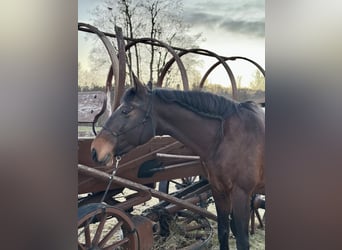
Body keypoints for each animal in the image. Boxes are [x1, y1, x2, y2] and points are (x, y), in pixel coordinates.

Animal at [90, 76, 264, 250]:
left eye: (127, 110)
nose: (95, 150)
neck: (227, 137)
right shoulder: (219, 191)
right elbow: (223, 232)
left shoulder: (241, 194)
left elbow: (242, 241)